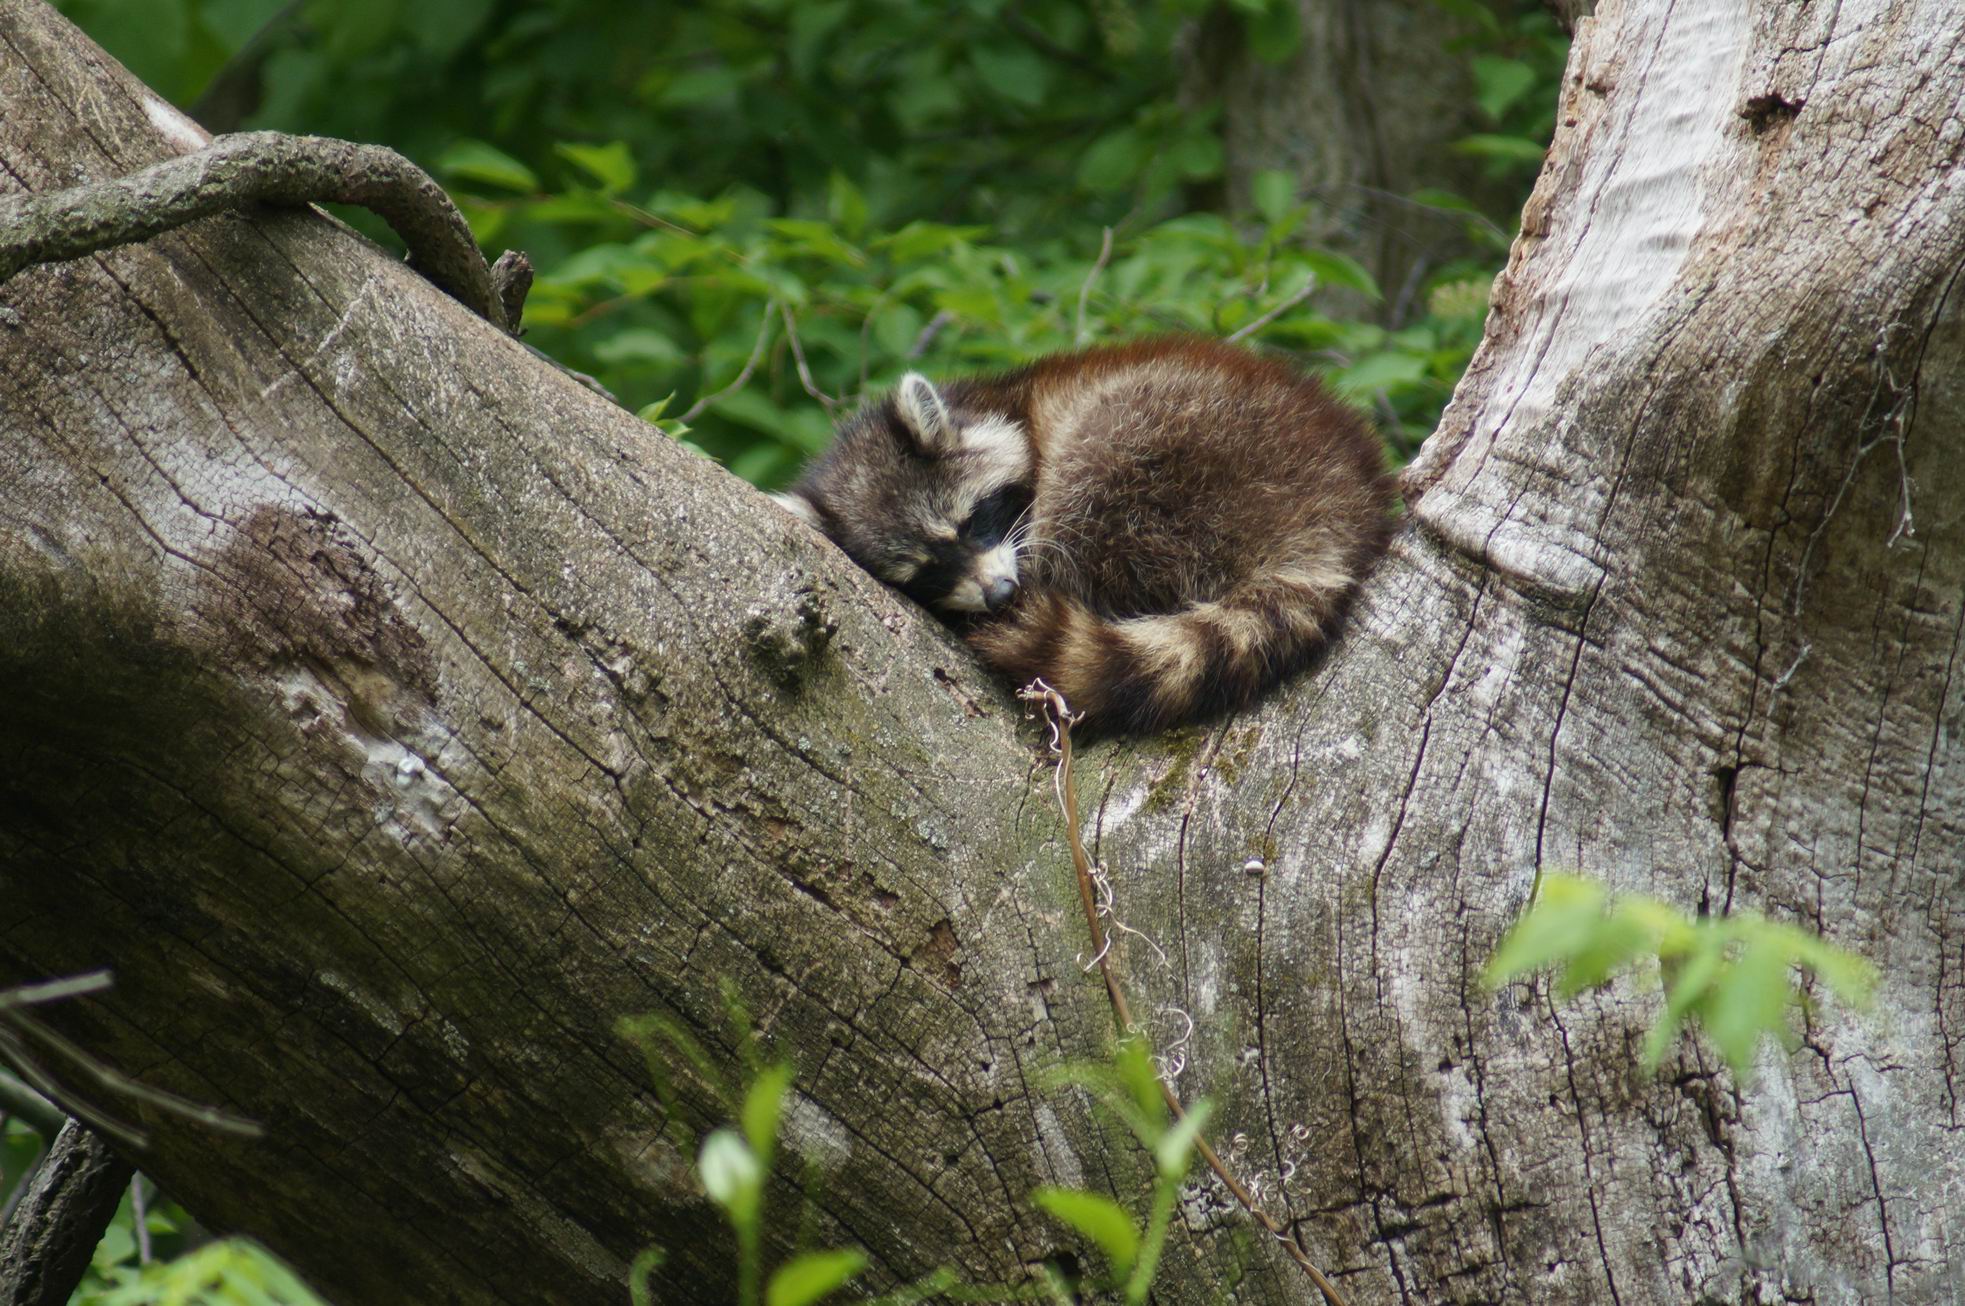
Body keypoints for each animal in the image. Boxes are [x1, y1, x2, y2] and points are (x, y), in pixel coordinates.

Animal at [774, 335, 1391, 734]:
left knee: (1087, 473)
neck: (995, 404)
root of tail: (1333, 502)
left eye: (972, 522)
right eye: (927, 573)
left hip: (1180, 439)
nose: (1001, 594)